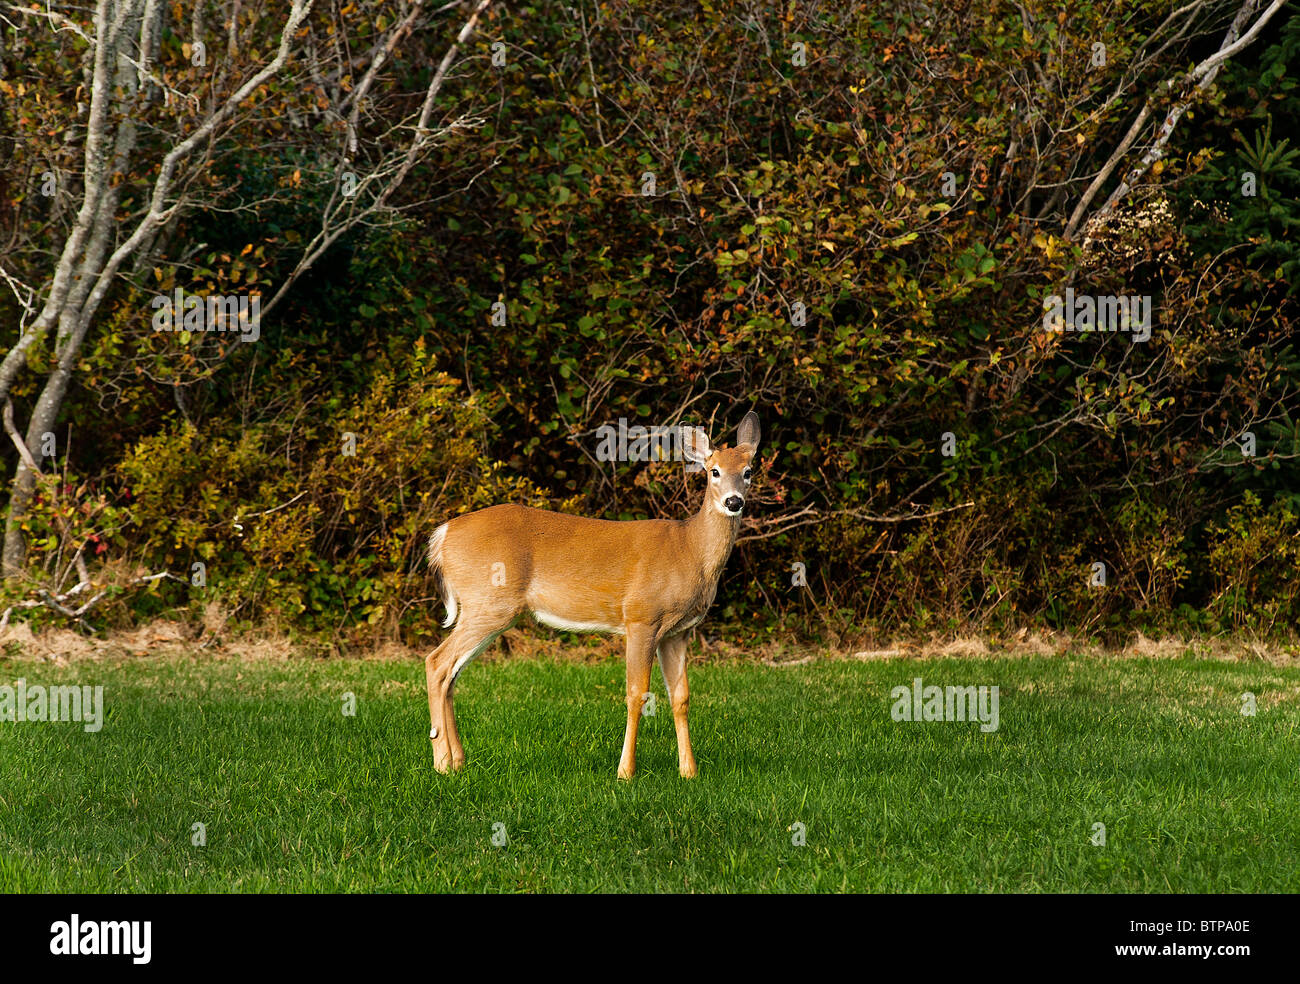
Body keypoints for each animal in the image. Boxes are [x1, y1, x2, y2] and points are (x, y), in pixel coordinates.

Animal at [423, 408, 759, 774]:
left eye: (748, 471)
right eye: (714, 471)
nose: (733, 501)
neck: (689, 549)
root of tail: (442, 535)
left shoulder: (678, 632)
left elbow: (681, 697)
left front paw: (689, 772)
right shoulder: (641, 617)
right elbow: (636, 694)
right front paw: (625, 771)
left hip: (485, 608)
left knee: (451, 673)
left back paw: (457, 761)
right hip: (489, 603)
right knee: (436, 662)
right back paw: (442, 763)